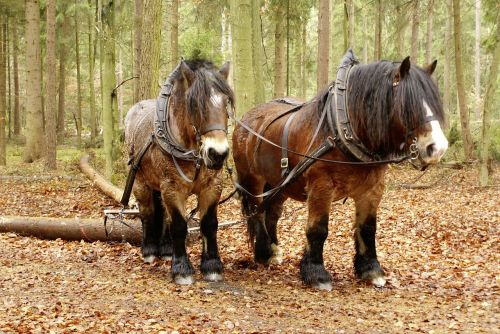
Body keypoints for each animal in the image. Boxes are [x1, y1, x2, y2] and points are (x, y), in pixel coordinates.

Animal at [125, 59, 234, 284]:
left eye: (226, 102)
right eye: (195, 104)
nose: (217, 154)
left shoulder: (212, 187)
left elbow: (209, 224)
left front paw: (212, 265)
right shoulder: (172, 188)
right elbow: (179, 225)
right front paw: (181, 268)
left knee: (164, 215)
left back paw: (166, 249)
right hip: (141, 182)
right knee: (147, 212)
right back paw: (150, 250)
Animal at [232, 51, 448, 290]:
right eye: (408, 105)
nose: (437, 148)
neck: (340, 128)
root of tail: (245, 120)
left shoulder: (372, 189)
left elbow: (368, 228)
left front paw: (371, 269)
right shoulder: (321, 186)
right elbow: (318, 229)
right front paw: (316, 273)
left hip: (280, 184)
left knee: (272, 212)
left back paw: (273, 250)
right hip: (252, 180)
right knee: (257, 211)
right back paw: (263, 252)